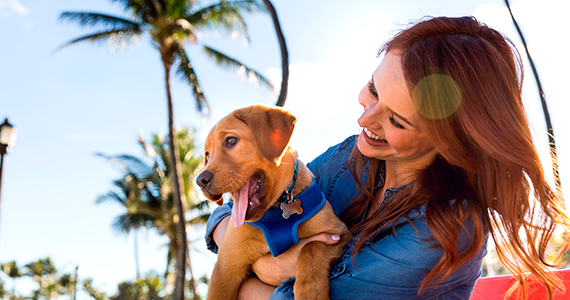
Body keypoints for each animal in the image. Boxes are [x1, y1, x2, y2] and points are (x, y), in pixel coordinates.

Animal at [195, 105, 346, 300]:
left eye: (230, 141)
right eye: (207, 154)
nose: (200, 181)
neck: (275, 210)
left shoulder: (339, 233)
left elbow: (311, 248)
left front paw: (310, 291)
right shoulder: (225, 269)